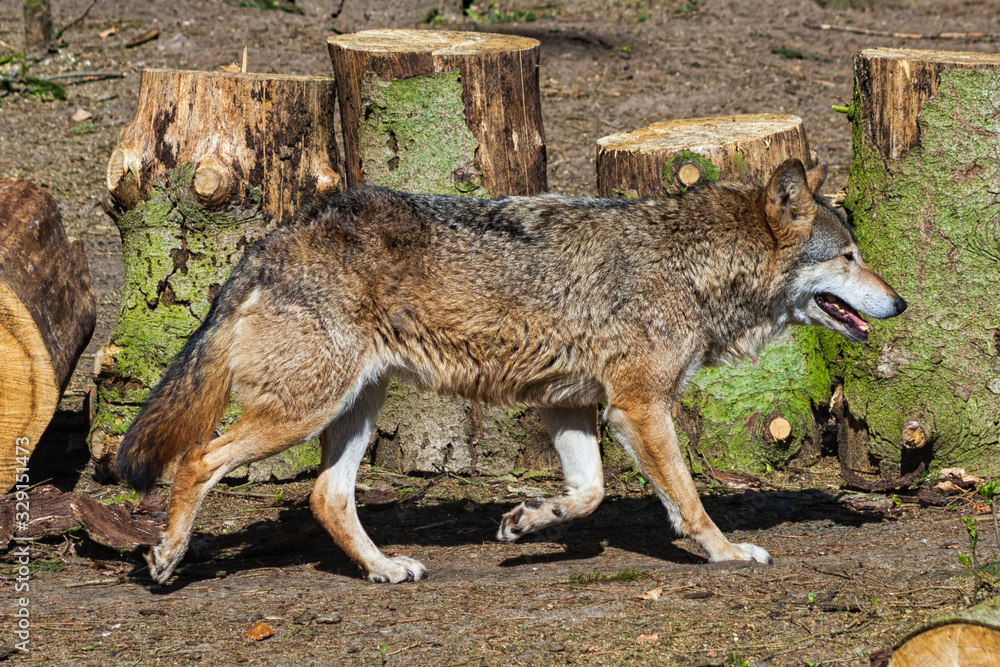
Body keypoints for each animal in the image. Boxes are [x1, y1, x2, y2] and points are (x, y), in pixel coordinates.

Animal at [116, 158, 905, 584]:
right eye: (849, 256)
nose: (899, 301)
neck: (693, 264)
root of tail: (275, 238)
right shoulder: (638, 407)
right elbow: (689, 502)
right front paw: (727, 551)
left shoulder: (571, 408)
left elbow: (586, 495)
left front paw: (527, 522)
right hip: (305, 410)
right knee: (198, 459)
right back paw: (166, 557)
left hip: (354, 409)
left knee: (324, 496)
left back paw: (385, 568)